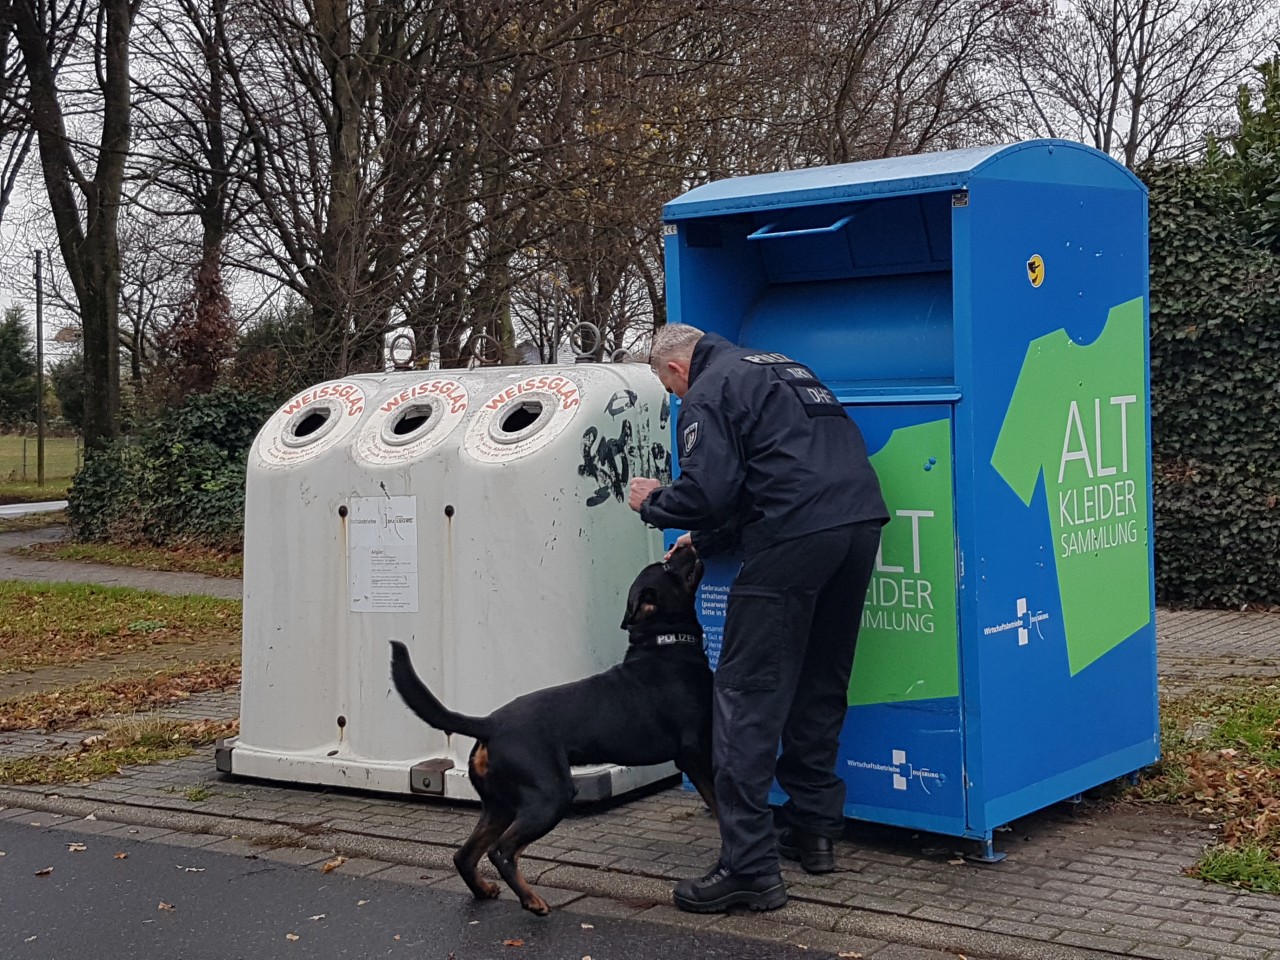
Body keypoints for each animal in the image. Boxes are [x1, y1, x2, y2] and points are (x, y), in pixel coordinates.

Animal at [384, 547, 716, 916]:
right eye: (667, 566)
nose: (684, 546)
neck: (665, 645)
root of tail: (490, 722)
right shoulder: (694, 752)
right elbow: (719, 803)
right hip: (550, 796)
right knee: (501, 851)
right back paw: (531, 900)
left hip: (500, 804)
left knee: (464, 854)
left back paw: (485, 890)